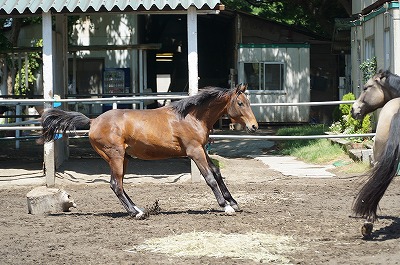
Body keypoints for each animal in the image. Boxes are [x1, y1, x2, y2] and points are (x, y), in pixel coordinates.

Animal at [41, 85, 260, 219]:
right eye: (240, 103)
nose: (254, 126)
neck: (191, 117)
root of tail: (93, 121)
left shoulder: (202, 149)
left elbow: (217, 172)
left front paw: (234, 202)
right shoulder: (194, 152)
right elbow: (210, 178)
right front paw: (226, 206)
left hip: (124, 159)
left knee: (119, 185)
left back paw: (138, 208)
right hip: (116, 157)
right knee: (115, 185)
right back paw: (136, 213)